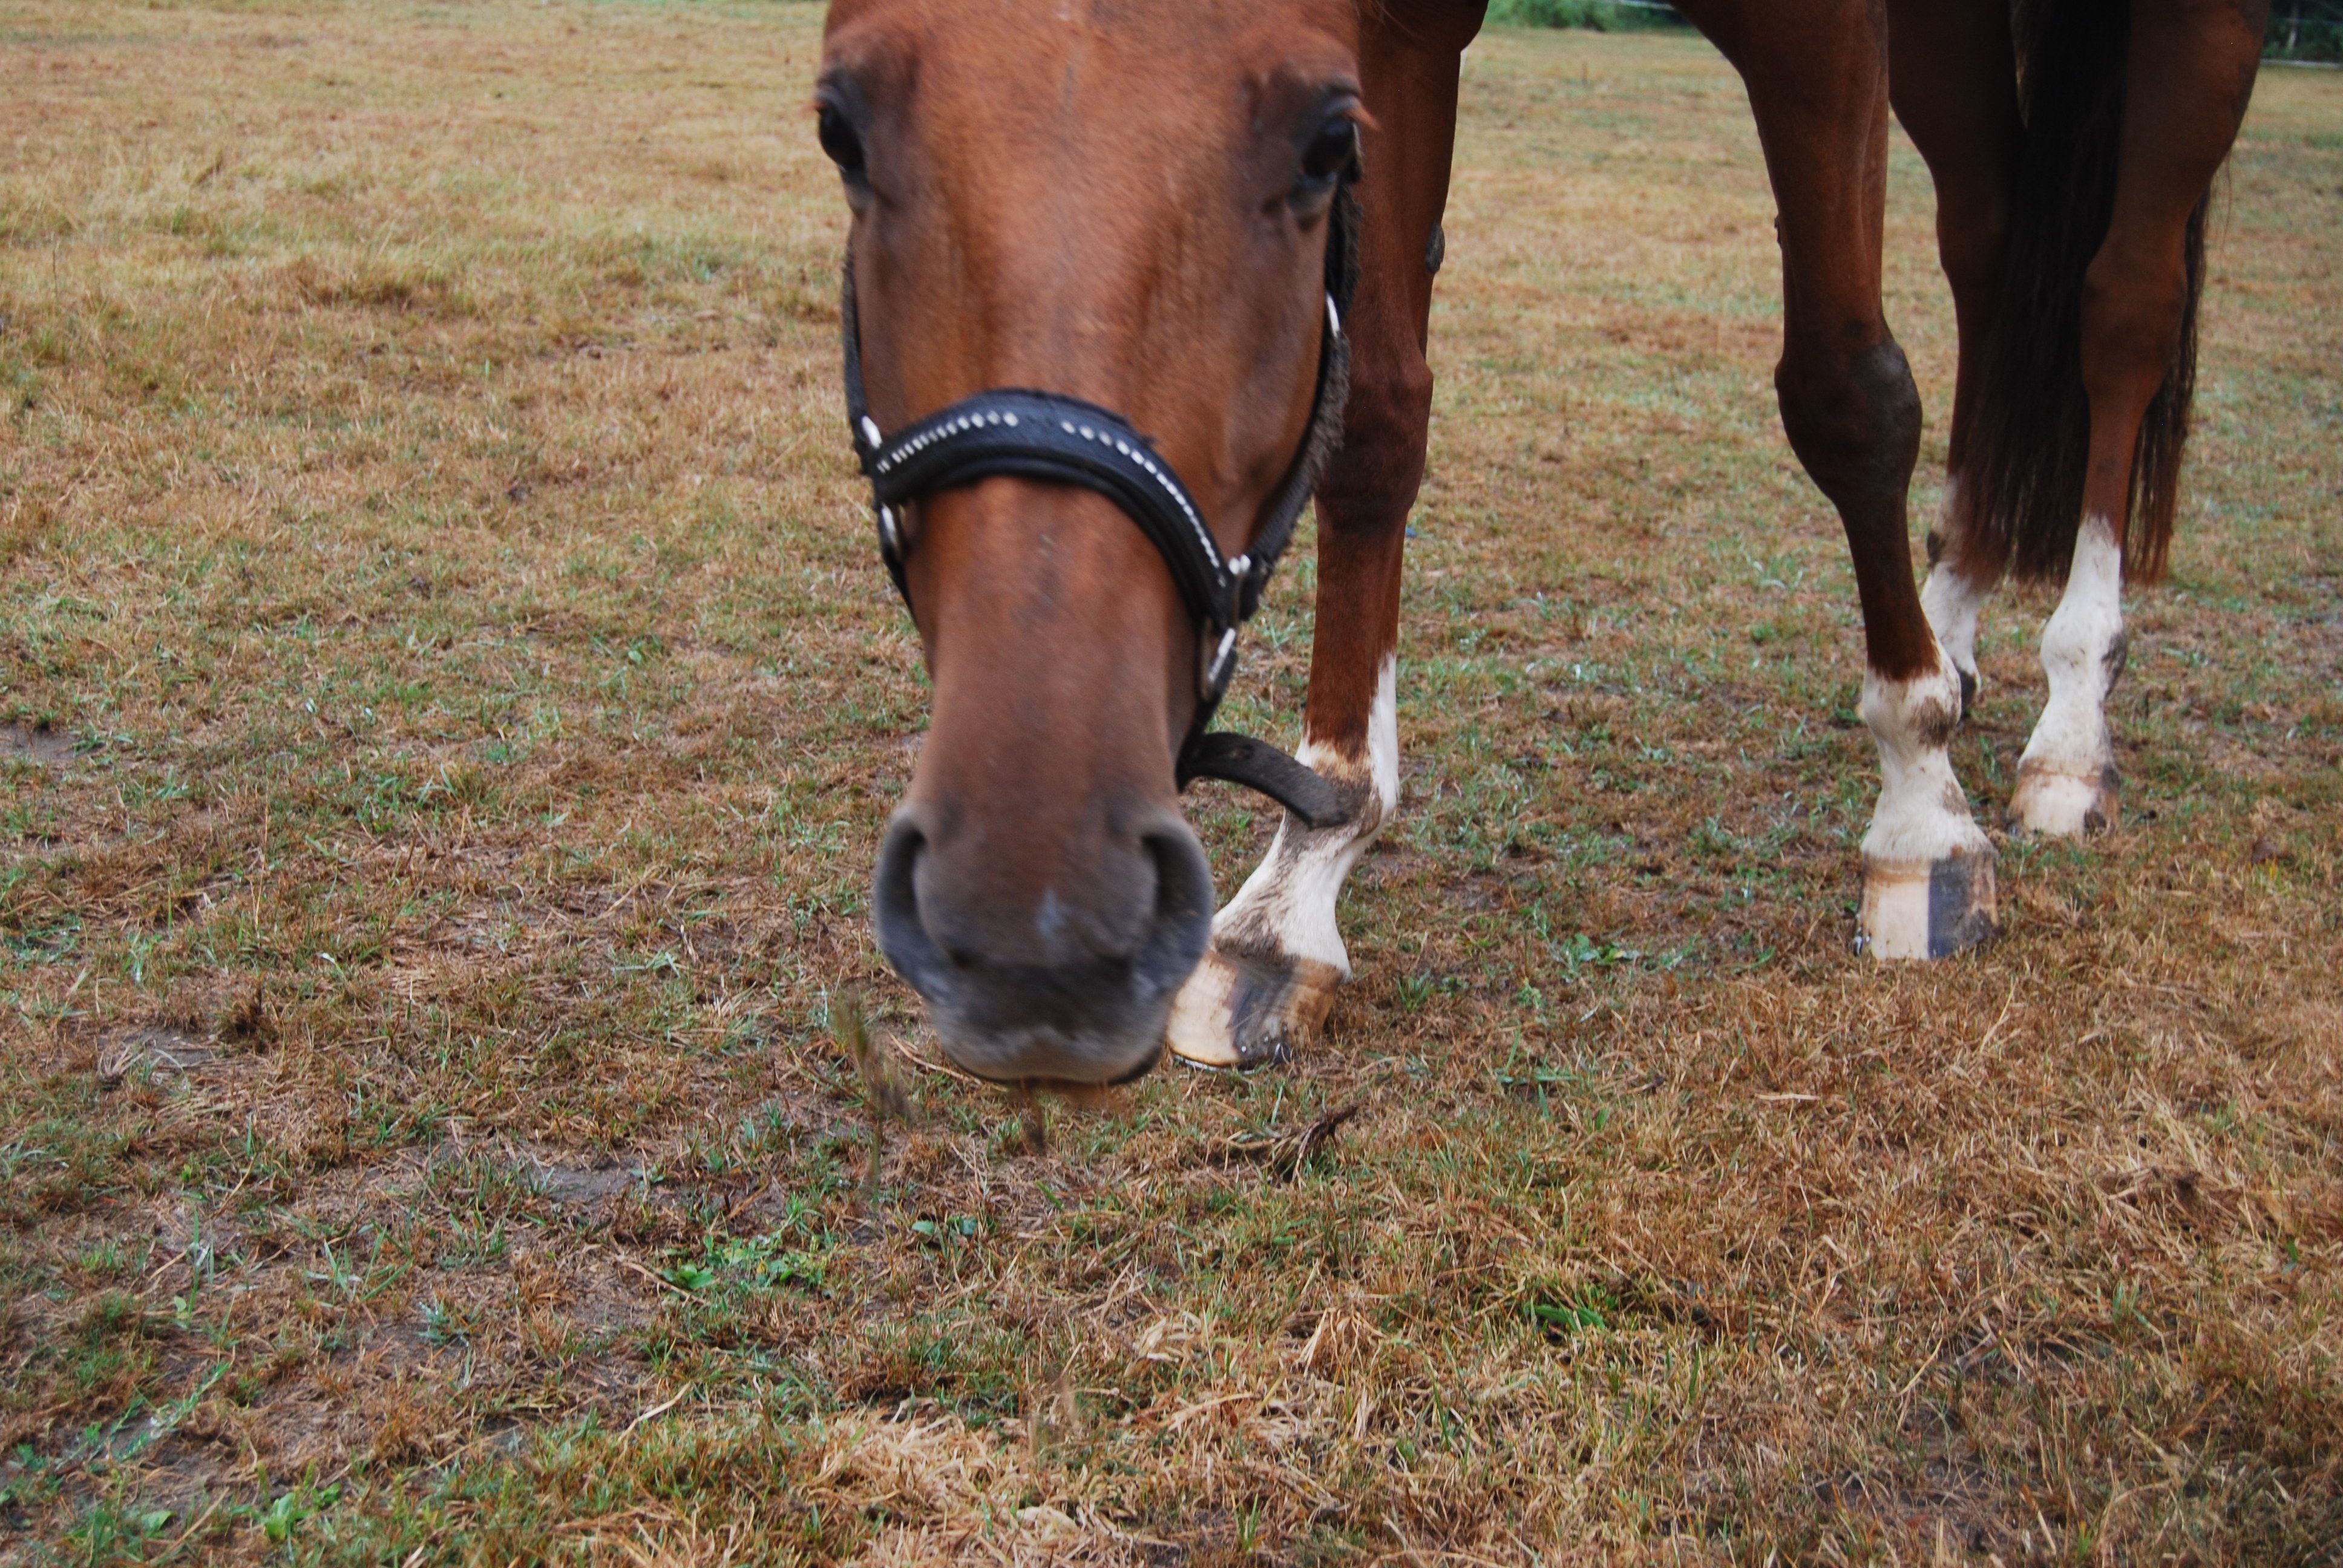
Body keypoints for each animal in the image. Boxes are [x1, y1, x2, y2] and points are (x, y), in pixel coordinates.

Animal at [815, 0, 2269, 1085]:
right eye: (838, 128)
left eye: (1320, 146)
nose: (1037, 913)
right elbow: (1376, 418)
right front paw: (1302, 879)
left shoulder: (1812, 17)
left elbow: (1848, 395)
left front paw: (1921, 811)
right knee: (1991, 250)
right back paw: (1959, 616)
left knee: (2118, 305)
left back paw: (2069, 720)